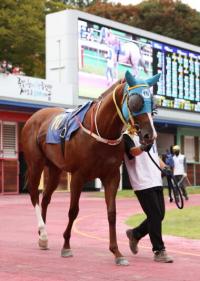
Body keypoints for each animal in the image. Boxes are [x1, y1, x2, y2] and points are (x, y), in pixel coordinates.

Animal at [21, 69, 160, 264]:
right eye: (135, 102)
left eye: (152, 103)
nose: (149, 136)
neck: (101, 130)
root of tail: (35, 117)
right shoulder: (78, 176)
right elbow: (73, 211)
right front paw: (66, 246)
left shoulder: (111, 176)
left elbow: (111, 213)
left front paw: (117, 252)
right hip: (36, 163)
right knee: (34, 194)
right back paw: (43, 232)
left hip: (55, 169)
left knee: (45, 198)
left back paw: (43, 237)